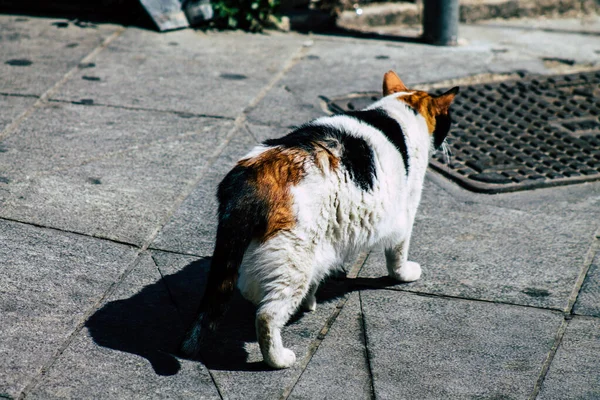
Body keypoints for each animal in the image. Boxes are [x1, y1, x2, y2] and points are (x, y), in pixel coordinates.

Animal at [180, 71, 458, 368]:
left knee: (250, 289)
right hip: (294, 258)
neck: (397, 113)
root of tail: (252, 176)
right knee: (267, 314)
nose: (446, 144)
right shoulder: (405, 213)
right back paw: (278, 358)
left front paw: (312, 298)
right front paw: (404, 273)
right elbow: (398, 254)